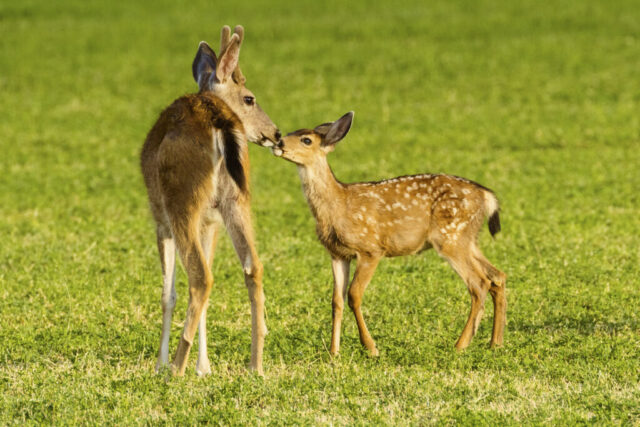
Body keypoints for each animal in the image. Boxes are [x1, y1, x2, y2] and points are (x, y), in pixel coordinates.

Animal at [140, 25, 281, 376]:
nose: (276, 133)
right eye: (250, 98)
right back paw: (255, 364)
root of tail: (218, 119)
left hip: (181, 199)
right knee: (253, 266)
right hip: (234, 199)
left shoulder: (161, 221)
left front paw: (162, 363)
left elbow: (168, 294)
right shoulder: (212, 222)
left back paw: (176, 369)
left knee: (201, 277)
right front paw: (204, 367)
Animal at [271, 112, 506, 356]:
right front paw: (334, 352)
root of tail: (487, 196)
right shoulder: (337, 253)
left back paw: (461, 344)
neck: (338, 205)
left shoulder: (370, 248)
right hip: (467, 238)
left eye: (306, 140)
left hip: (451, 236)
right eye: (291, 132)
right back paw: (495, 342)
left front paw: (370, 347)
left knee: (479, 283)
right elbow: (336, 300)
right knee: (497, 276)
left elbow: (354, 295)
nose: (278, 142)